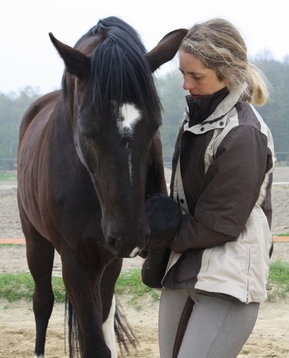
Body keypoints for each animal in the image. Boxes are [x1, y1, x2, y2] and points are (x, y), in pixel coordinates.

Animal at [16, 16, 187, 358]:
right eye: (88, 129)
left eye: (155, 125)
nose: (130, 235)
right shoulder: (75, 261)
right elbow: (93, 343)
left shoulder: (111, 257)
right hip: (35, 242)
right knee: (42, 301)